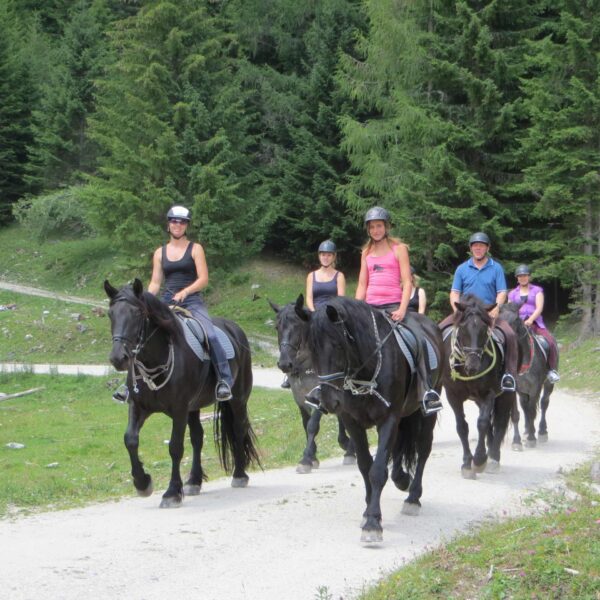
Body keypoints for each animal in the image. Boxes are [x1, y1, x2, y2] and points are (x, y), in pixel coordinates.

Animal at [105, 280, 260, 506]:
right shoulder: (138, 406)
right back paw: (194, 481)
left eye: (137, 313)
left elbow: (175, 447)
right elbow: (130, 439)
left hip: (238, 399)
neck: (156, 361)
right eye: (111, 314)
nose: (118, 358)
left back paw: (239, 475)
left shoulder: (179, 410)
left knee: (239, 429)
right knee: (198, 437)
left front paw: (171, 492)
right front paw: (143, 483)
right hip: (193, 408)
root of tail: (234, 329)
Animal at [268, 296, 354, 474]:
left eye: (298, 326)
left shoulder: (319, 393)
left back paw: (349, 449)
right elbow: (305, 423)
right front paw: (313, 456)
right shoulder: (300, 397)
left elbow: (312, 425)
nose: (284, 363)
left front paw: (306, 459)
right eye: (277, 327)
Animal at [298, 298, 442, 544]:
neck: (366, 371)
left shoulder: (388, 419)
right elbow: (365, 465)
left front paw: (373, 522)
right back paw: (401, 479)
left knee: (423, 449)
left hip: (427, 411)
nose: (329, 401)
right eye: (313, 349)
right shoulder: (352, 422)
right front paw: (368, 512)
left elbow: (377, 470)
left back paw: (413, 497)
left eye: (338, 345)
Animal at [440, 296, 516, 478]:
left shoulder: (488, 393)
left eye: (484, 329)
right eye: (462, 328)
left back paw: (493, 458)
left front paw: (479, 460)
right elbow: (462, 427)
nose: (473, 365)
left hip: (507, 393)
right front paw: (467, 464)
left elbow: (482, 423)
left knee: (500, 422)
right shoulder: (453, 396)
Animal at [500, 304, 556, 450]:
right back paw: (526, 431)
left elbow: (532, 411)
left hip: (548, 384)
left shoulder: (535, 387)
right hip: (523, 390)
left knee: (544, 403)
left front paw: (531, 438)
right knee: (524, 405)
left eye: (515, 319)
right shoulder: (512, 388)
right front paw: (517, 441)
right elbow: (516, 414)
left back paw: (541, 432)